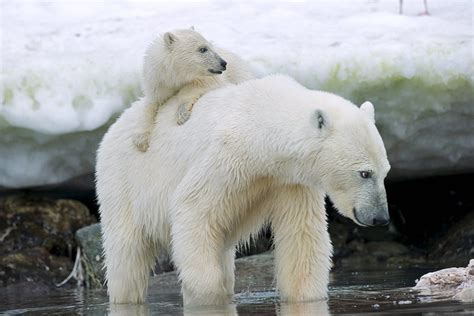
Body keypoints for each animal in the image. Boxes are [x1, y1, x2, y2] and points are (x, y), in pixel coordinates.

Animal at [95, 74, 388, 306]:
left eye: (385, 171)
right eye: (364, 173)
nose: (380, 217)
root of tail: (114, 126)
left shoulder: (290, 181)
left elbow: (302, 237)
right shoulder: (228, 157)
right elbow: (193, 209)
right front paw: (209, 296)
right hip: (123, 182)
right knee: (127, 257)